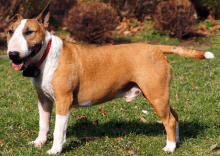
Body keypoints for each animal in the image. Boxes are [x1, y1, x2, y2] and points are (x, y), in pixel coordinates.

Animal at [6, 3, 215, 155]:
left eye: (29, 32)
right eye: (10, 31)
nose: (12, 54)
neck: (46, 55)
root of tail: (156, 47)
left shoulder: (64, 100)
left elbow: (59, 129)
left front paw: (55, 150)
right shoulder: (43, 100)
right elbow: (43, 124)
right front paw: (39, 143)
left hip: (156, 94)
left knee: (169, 120)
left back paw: (169, 147)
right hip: (158, 94)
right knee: (174, 115)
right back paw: (176, 142)